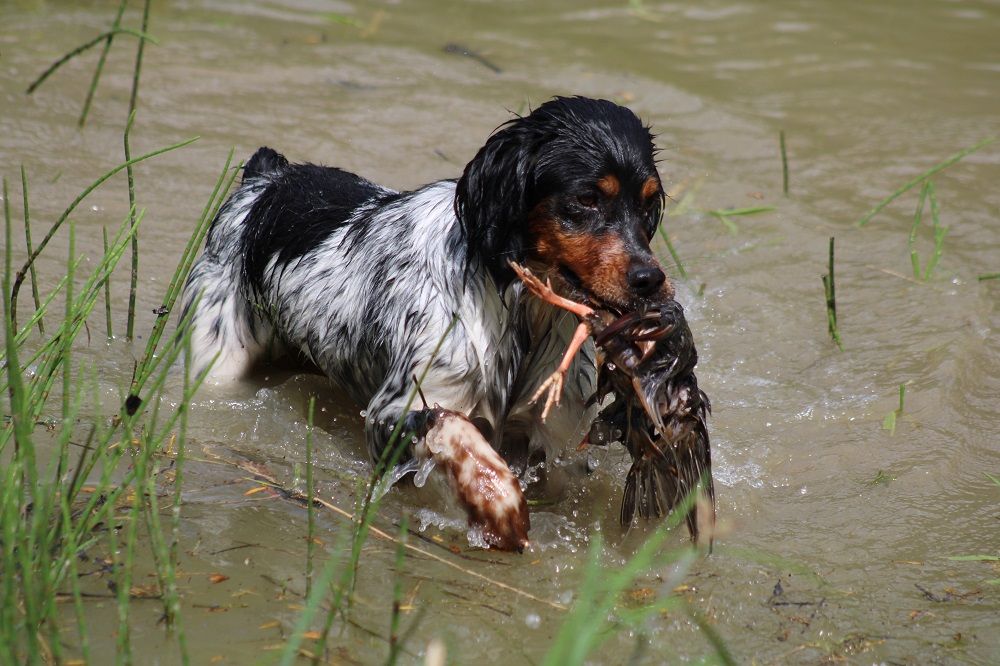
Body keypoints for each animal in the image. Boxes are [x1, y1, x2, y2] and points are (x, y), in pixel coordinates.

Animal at [185, 96, 676, 548]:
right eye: (587, 198)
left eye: (648, 203)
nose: (649, 280)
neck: (518, 310)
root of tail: (266, 180)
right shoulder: (394, 414)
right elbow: (459, 433)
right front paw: (499, 504)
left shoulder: (549, 436)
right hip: (218, 362)